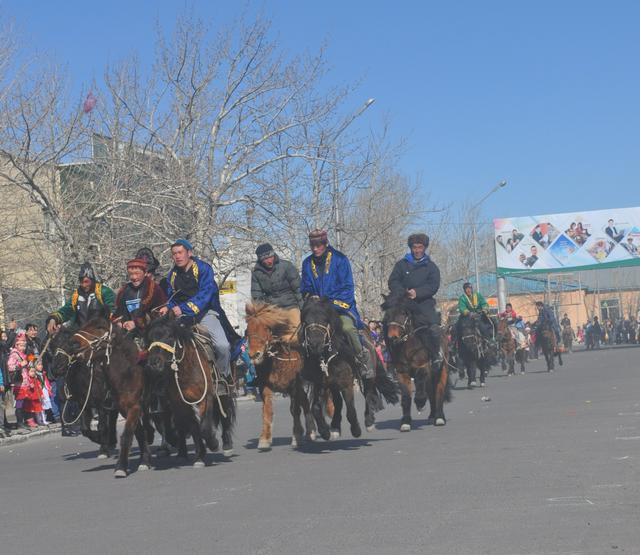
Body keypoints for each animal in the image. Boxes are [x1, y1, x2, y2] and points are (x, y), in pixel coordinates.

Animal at [144, 314, 235, 466]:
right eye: (149, 338)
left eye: (169, 336)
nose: (154, 363)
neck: (186, 371)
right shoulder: (181, 403)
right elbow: (193, 427)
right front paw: (199, 455)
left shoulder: (206, 397)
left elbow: (204, 427)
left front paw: (213, 444)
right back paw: (181, 452)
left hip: (225, 388)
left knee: (225, 412)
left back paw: (227, 444)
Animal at [244, 304, 316, 452]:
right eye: (247, 330)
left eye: (266, 328)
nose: (254, 355)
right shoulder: (265, 387)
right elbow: (267, 411)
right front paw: (264, 439)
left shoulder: (295, 386)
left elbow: (295, 410)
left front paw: (296, 436)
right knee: (305, 403)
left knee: (306, 404)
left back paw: (310, 432)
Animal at [382, 294, 452, 432]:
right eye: (387, 314)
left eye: (403, 313)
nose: (392, 337)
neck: (408, 346)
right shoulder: (402, 373)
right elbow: (405, 397)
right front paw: (405, 422)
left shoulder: (422, 367)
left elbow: (420, 388)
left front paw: (420, 402)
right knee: (431, 392)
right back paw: (432, 415)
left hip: (442, 370)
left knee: (439, 392)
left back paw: (439, 417)